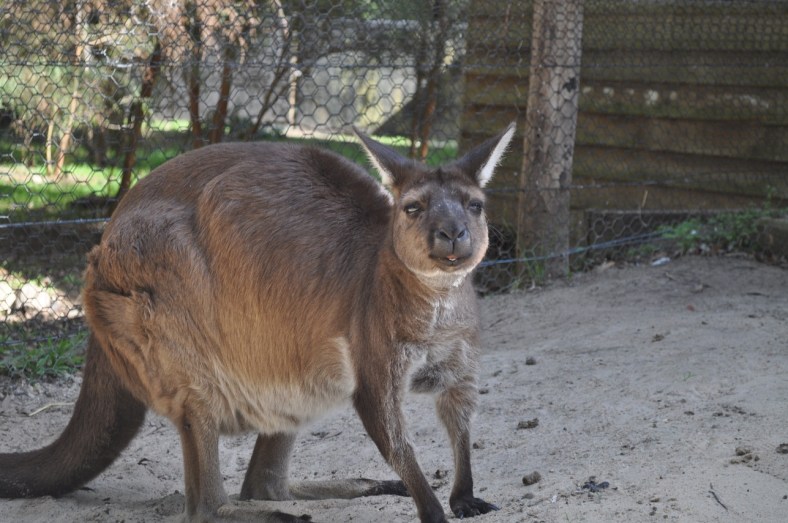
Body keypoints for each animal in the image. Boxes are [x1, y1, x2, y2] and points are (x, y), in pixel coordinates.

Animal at [0, 122, 516, 523]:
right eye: (413, 208)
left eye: (475, 206)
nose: (452, 234)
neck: (433, 299)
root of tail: (104, 240)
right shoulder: (375, 357)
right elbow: (392, 430)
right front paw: (432, 509)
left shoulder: (460, 363)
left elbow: (460, 420)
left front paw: (463, 496)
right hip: (166, 312)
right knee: (205, 501)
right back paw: (274, 514)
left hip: (298, 365)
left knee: (263, 483)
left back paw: (345, 490)